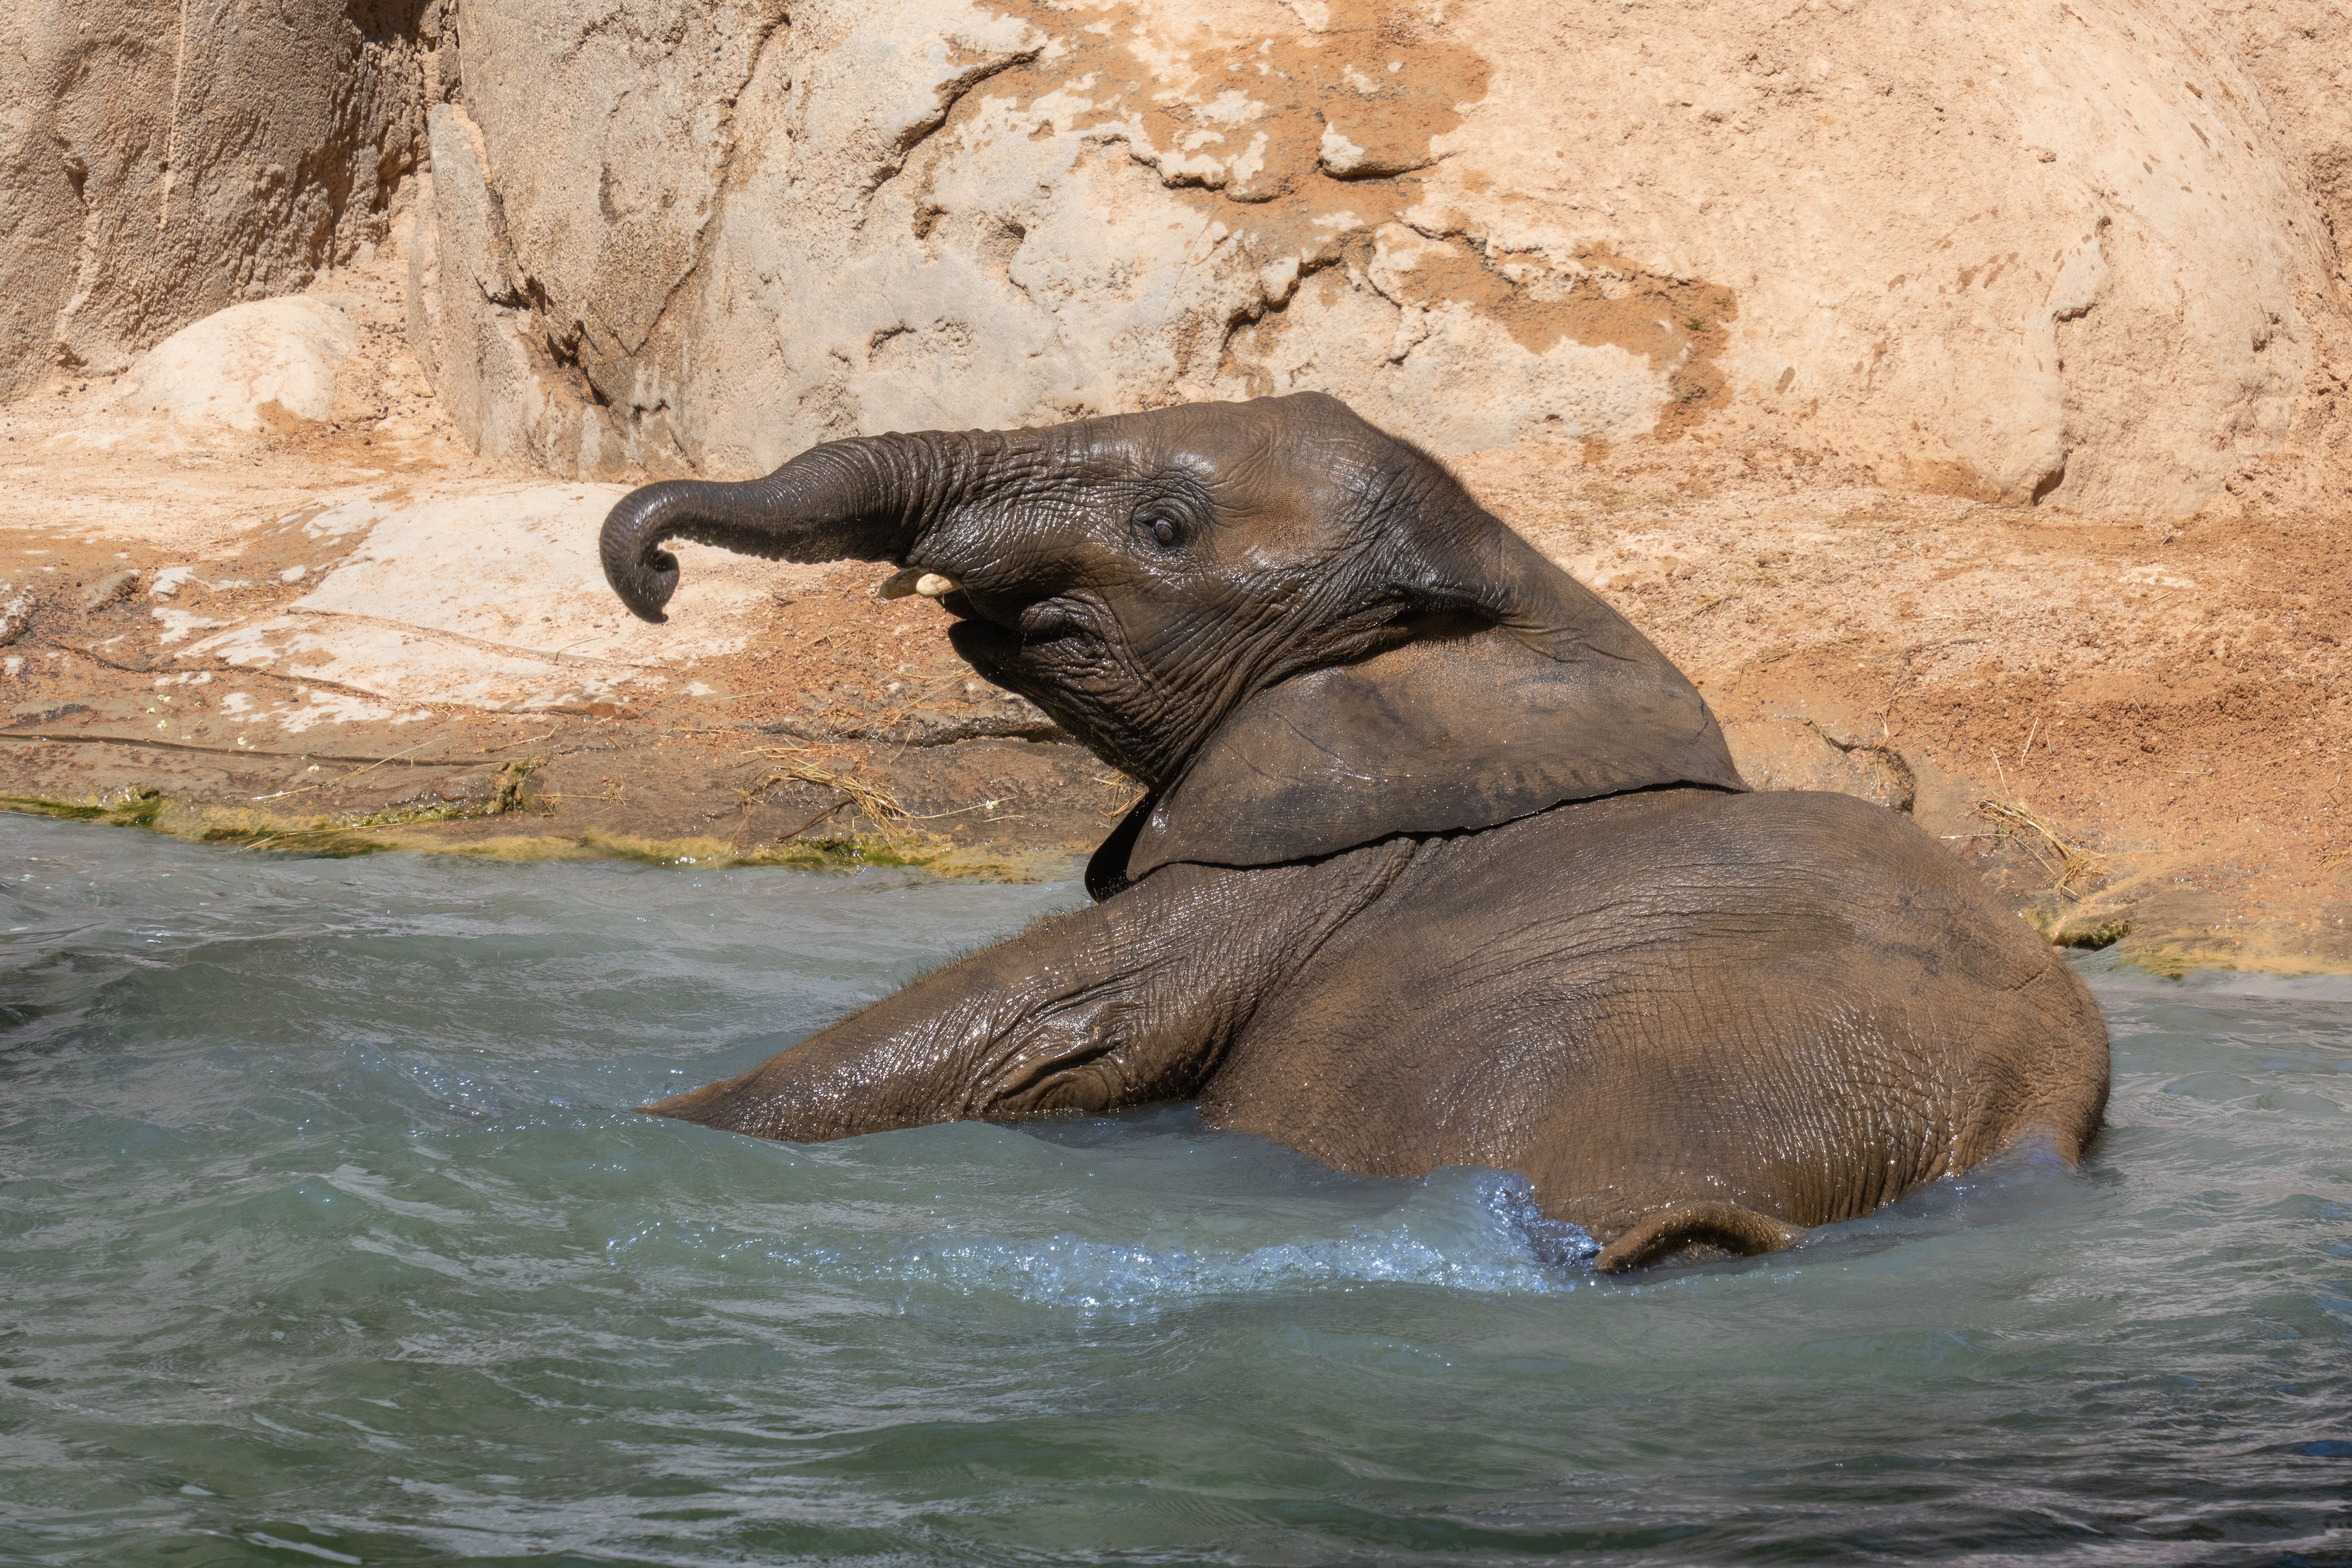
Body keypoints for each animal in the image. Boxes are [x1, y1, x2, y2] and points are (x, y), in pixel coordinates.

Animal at [599, 392, 2108, 1271]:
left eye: (1165, 526)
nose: (656, 569)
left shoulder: (1307, 861)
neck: (1518, 567)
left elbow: (1042, 1020)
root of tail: (2024, 1114)